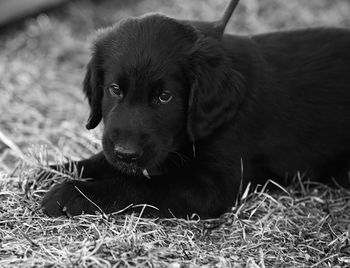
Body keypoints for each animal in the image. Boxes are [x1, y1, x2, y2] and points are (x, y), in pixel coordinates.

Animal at [41, 0, 350, 218]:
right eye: (115, 89)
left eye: (165, 97)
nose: (126, 154)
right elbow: (99, 161)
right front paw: (49, 171)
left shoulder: (212, 187)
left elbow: (140, 184)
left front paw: (74, 193)